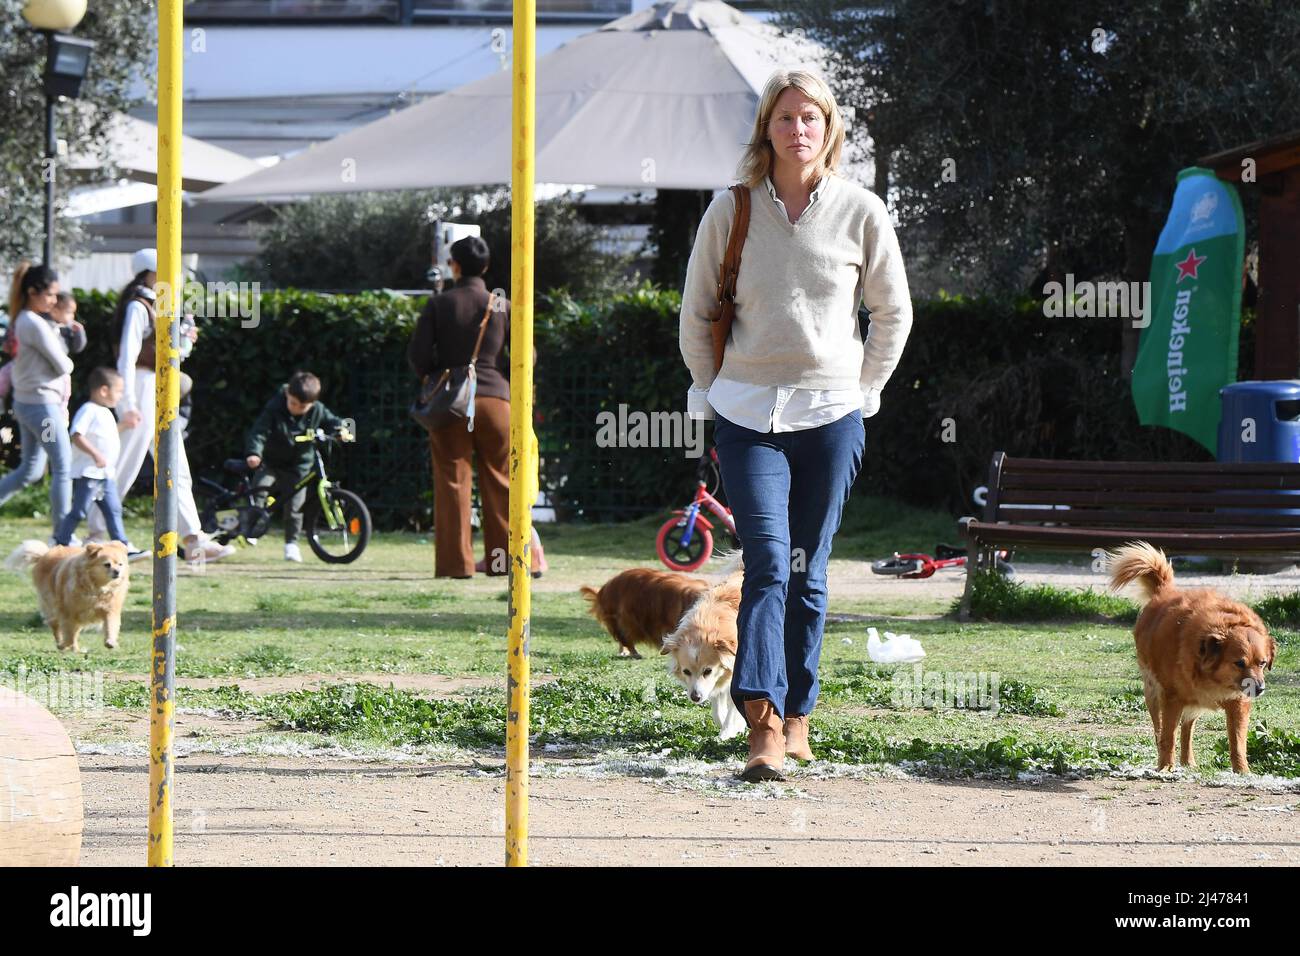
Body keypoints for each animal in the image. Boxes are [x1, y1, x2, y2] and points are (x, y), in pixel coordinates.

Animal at [1107, 541, 1279, 775]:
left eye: (1262, 663)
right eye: (1239, 663)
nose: (1259, 689)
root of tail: (1165, 591)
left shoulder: (1238, 703)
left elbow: (1237, 741)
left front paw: (1242, 771)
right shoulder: (1171, 698)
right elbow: (1168, 736)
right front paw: (1165, 767)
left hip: (1193, 701)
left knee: (1187, 728)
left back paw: (1188, 760)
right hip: (1153, 693)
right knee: (1159, 729)